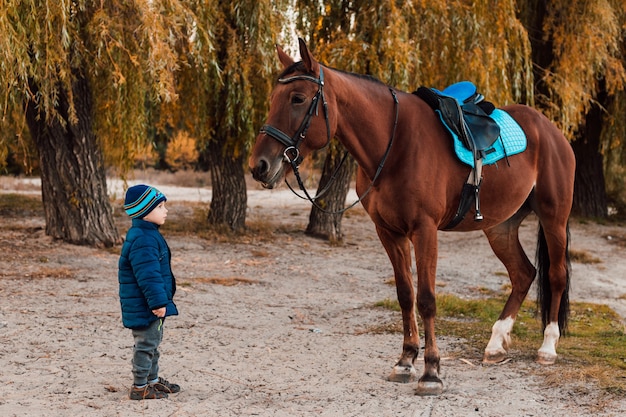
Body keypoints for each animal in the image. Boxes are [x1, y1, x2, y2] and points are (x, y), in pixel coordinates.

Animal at [246, 38, 572, 394]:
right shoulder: (389, 232)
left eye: (298, 98)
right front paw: (405, 361)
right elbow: (405, 294)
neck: (395, 145)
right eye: (272, 99)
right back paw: (496, 344)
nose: (259, 165)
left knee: (555, 275)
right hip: (501, 227)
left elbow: (427, 298)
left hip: (554, 219)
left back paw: (548, 348)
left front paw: (431, 371)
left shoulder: (424, 230)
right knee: (523, 273)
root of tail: (551, 131)